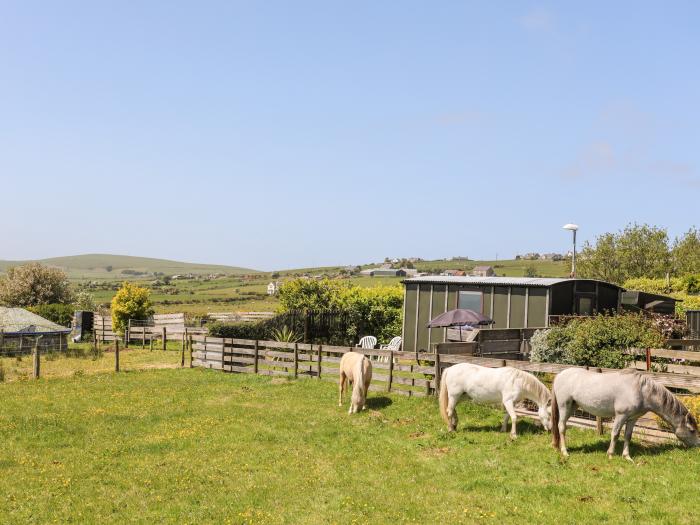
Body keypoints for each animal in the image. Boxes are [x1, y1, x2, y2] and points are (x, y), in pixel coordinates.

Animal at [552, 368, 700, 458]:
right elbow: (615, 434)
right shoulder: (620, 416)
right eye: (692, 430)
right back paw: (565, 452)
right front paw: (610, 454)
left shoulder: (632, 418)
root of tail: (559, 375)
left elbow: (628, 435)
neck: (641, 391)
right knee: (561, 427)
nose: (698, 445)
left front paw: (627, 456)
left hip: (572, 407)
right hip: (564, 406)